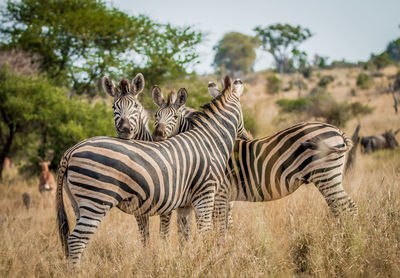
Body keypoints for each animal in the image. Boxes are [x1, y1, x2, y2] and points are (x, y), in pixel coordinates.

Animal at [54, 75, 245, 264]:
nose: (246, 136)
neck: (210, 138)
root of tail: (71, 151)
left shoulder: (184, 204)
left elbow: (184, 236)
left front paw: (185, 260)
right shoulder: (205, 193)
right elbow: (204, 233)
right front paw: (205, 259)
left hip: (78, 203)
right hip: (96, 199)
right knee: (76, 240)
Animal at [152, 80, 358, 235]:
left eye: (175, 116)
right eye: (156, 115)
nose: (158, 135)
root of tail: (337, 130)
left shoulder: (218, 194)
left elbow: (219, 229)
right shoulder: (226, 197)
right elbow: (226, 227)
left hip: (326, 176)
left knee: (346, 208)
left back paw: (348, 240)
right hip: (329, 177)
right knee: (342, 207)